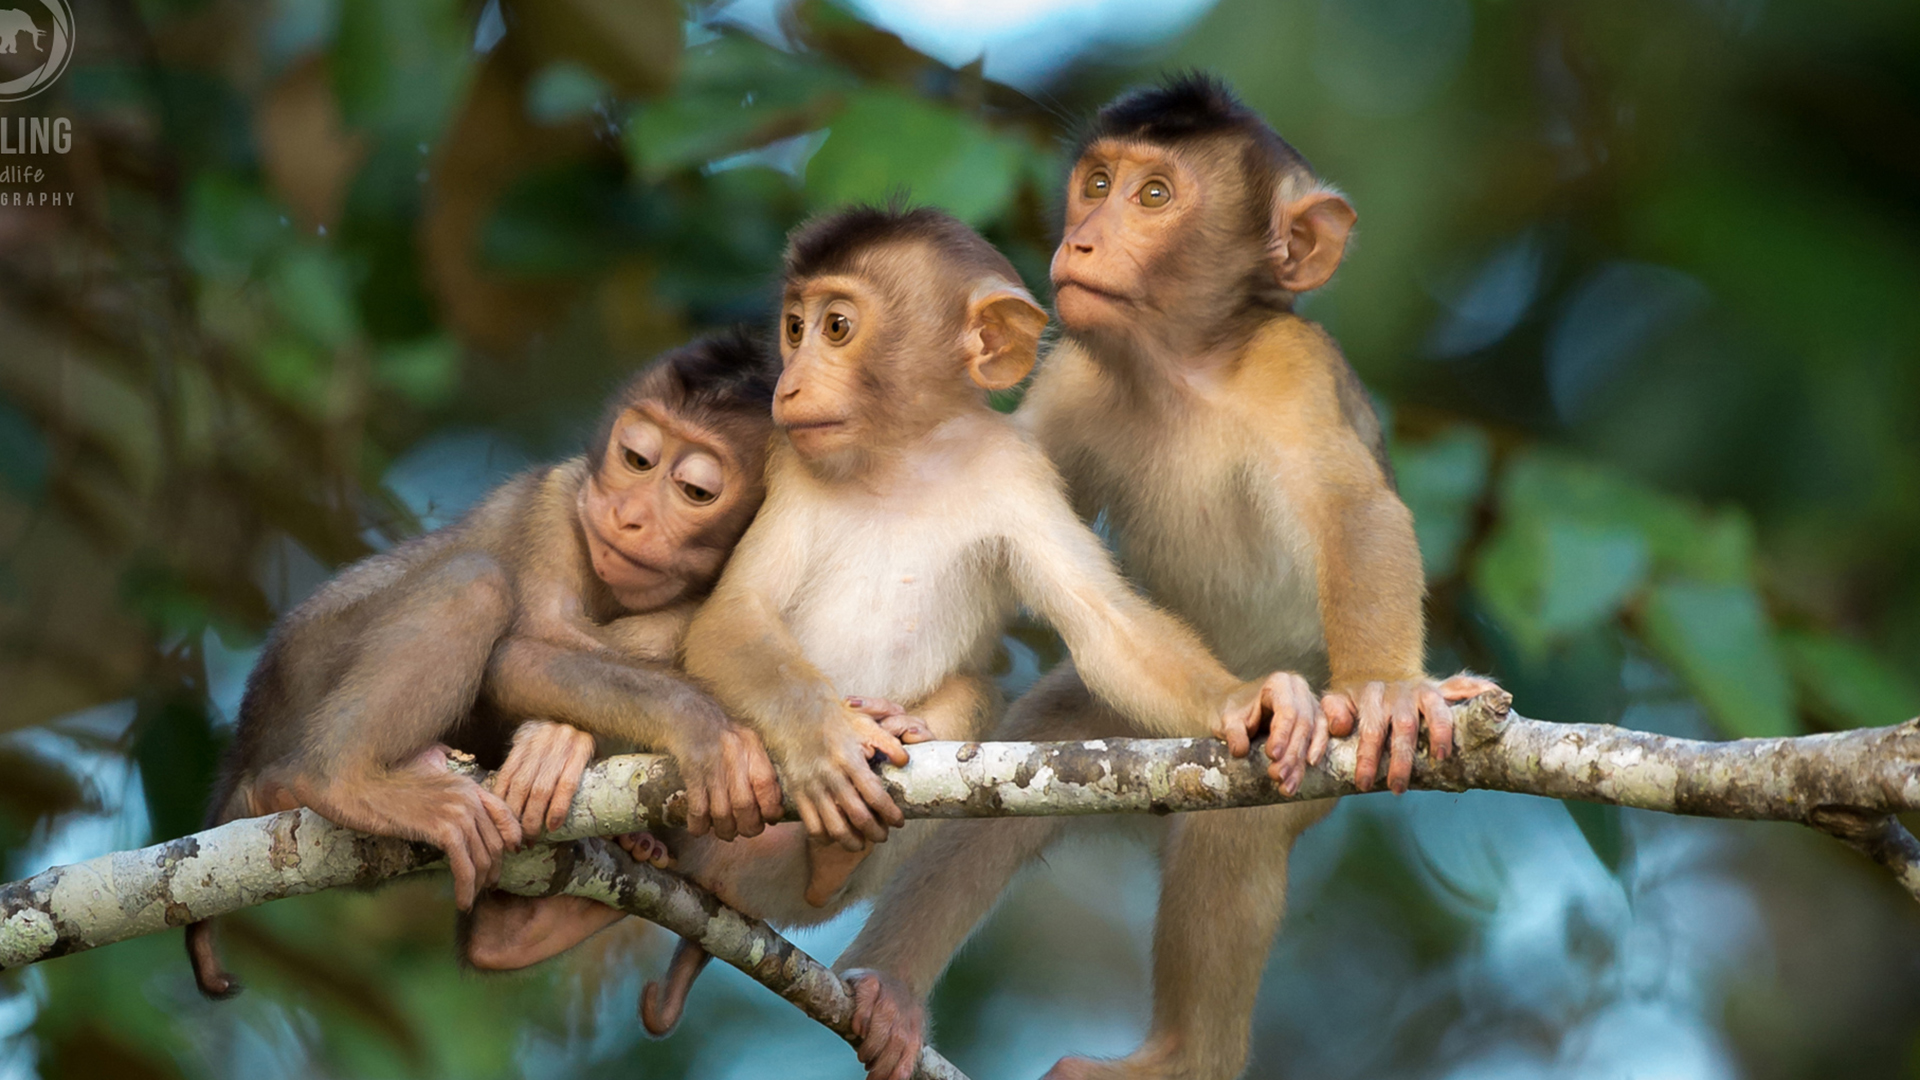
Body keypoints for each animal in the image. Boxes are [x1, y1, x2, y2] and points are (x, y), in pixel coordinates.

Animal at [184, 331, 789, 998]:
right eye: (637, 459)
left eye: (695, 492)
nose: (625, 514)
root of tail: (242, 751)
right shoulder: (557, 501)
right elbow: (518, 652)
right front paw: (694, 722)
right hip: (307, 670)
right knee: (474, 581)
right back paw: (334, 779)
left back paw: (524, 925)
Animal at [605, 203, 1330, 1039]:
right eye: (792, 327)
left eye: (837, 327)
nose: (791, 381)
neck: (901, 460)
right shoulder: (789, 467)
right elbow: (732, 617)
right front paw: (823, 743)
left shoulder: (1016, 474)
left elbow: (1106, 628)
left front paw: (1249, 702)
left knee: (972, 696)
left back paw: (833, 851)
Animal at [832, 75, 1502, 1080]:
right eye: (1097, 183)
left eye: (1154, 196)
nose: (1080, 240)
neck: (1179, 370)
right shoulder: (1072, 379)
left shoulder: (1292, 368)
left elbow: (1358, 513)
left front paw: (1389, 690)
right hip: (1135, 713)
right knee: (1025, 769)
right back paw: (891, 994)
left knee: (1243, 815)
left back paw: (1184, 1058)